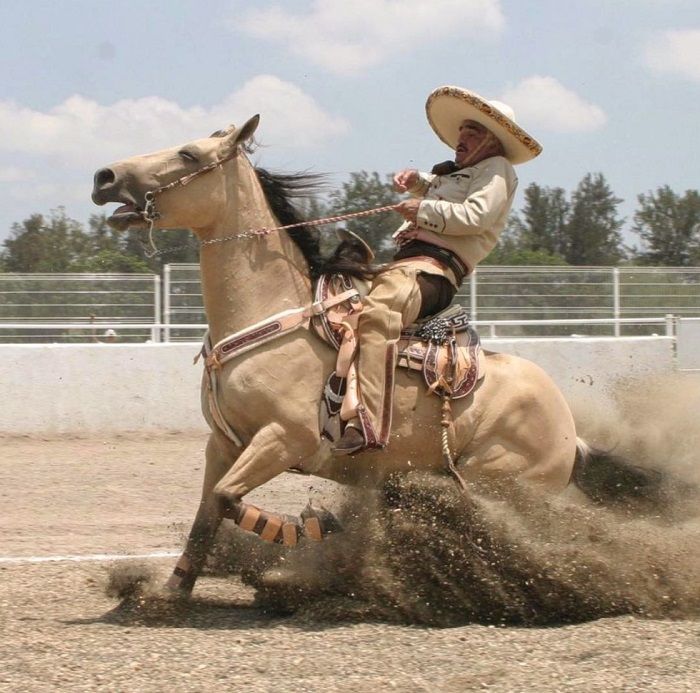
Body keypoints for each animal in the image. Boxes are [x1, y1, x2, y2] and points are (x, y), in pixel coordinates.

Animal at [90, 115, 664, 596]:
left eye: (188, 154)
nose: (104, 175)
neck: (271, 312)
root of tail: (571, 433)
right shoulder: (223, 444)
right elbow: (206, 513)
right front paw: (170, 593)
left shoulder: (283, 438)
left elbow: (229, 499)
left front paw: (314, 530)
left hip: (500, 485)